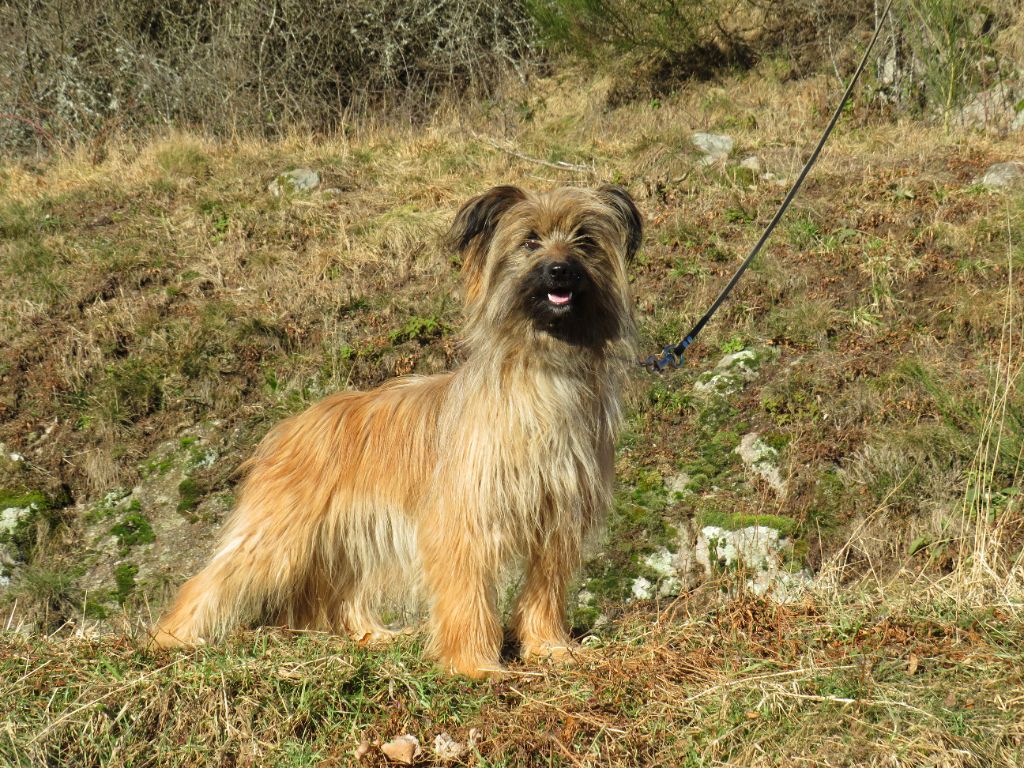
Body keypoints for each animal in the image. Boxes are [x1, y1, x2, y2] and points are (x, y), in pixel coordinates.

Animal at [150, 186, 638, 679]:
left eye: (584, 240)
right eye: (530, 241)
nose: (561, 270)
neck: (544, 370)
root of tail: (292, 423)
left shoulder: (558, 520)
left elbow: (546, 588)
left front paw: (548, 647)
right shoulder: (464, 519)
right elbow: (467, 592)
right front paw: (472, 664)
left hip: (349, 536)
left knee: (337, 596)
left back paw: (371, 635)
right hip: (278, 532)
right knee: (213, 579)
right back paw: (172, 637)